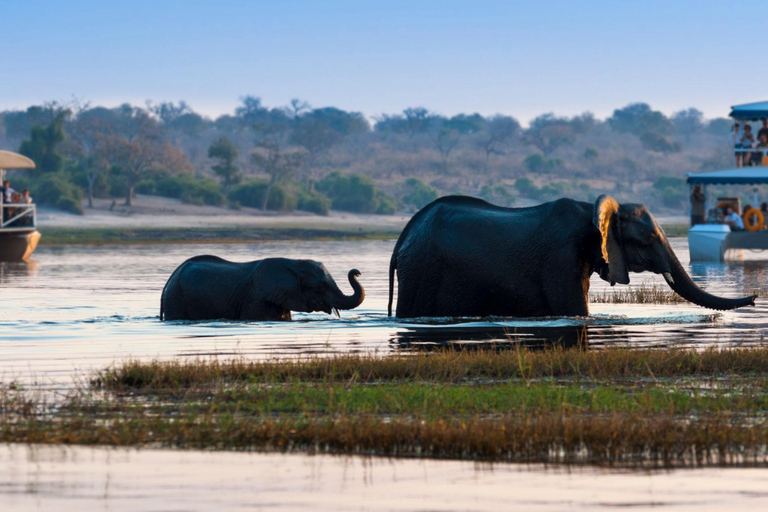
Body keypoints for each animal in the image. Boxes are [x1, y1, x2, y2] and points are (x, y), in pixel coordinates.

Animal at [388, 195, 756, 318]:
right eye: (649, 239)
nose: (754, 297)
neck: (592, 210)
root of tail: (404, 235)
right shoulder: (559, 257)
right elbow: (576, 311)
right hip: (422, 270)